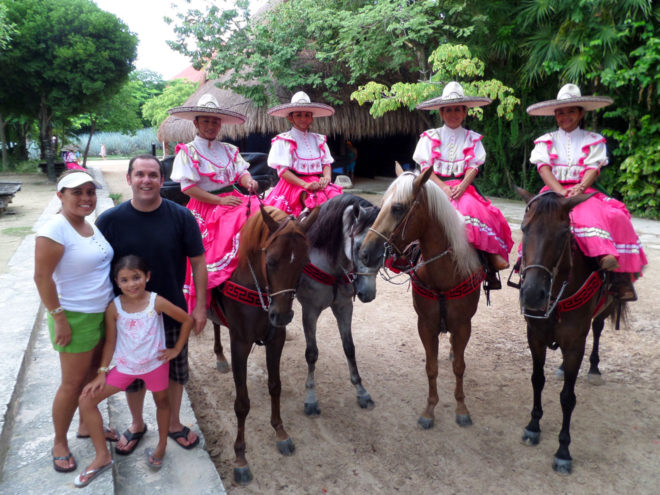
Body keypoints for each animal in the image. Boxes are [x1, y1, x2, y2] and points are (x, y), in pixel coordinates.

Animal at [210, 204, 316, 484]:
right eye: (270, 261)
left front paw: (280, 432)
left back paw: (219, 356)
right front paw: (240, 457)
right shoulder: (240, 343)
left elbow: (275, 386)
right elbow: (242, 403)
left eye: (304, 263)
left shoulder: (275, 339)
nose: (281, 315)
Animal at [296, 194, 378, 414]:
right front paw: (310, 398)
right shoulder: (310, 311)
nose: (368, 294)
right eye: (360, 249)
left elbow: (349, 347)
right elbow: (311, 353)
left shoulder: (344, 307)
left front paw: (361, 392)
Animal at [358, 168, 482, 430]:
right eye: (382, 204)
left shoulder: (462, 325)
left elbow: (459, 367)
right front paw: (429, 410)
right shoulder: (425, 325)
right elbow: (431, 368)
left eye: (397, 207)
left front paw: (461, 409)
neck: (445, 272)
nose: (364, 252)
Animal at [516, 188, 624, 474]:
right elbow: (537, 380)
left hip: (605, 310)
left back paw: (594, 369)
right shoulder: (535, 337)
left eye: (564, 233)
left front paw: (563, 450)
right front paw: (533, 427)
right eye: (524, 228)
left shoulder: (575, 344)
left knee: (597, 329)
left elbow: (567, 397)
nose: (532, 294)